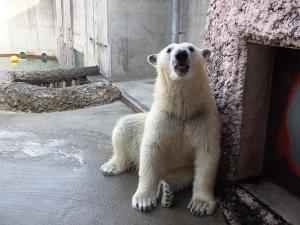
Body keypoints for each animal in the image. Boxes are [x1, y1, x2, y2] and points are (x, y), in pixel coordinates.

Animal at [101, 42, 220, 216]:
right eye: (169, 49)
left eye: (191, 48)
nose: (181, 54)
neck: (182, 111)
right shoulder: (162, 117)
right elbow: (151, 149)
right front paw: (144, 201)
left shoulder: (203, 118)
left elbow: (207, 153)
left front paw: (200, 205)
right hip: (139, 125)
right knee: (124, 127)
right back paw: (111, 166)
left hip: (183, 168)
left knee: (184, 176)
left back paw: (166, 191)